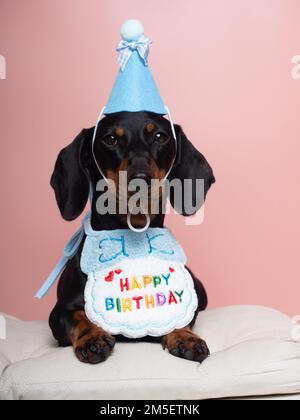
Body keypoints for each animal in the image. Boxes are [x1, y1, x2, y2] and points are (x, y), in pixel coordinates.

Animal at [49, 111, 214, 364]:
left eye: (160, 136)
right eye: (110, 139)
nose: (141, 178)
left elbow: (182, 316)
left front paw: (184, 336)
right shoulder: (58, 312)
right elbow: (78, 317)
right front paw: (92, 337)